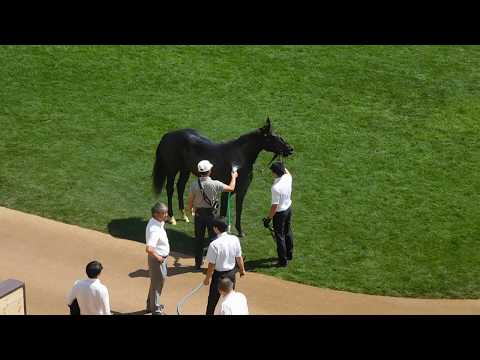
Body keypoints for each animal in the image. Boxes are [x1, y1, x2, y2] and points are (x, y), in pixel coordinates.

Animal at [152, 118, 292, 236]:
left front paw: (240, 231)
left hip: (185, 170)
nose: (290, 149)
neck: (240, 158)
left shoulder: (241, 191)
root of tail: (168, 135)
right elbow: (224, 211)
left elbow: (239, 210)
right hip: (172, 170)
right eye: (272, 137)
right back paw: (172, 218)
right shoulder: (225, 191)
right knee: (170, 189)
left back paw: (185, 215)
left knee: (180, 186)